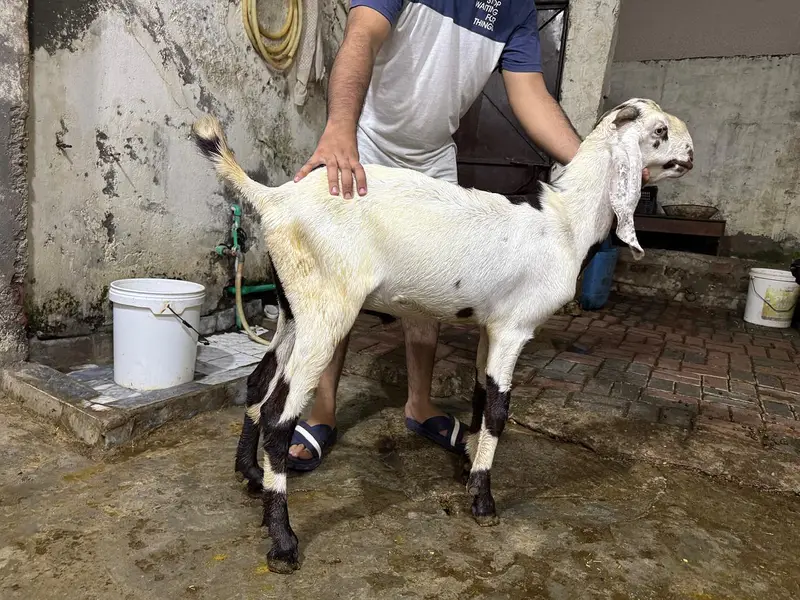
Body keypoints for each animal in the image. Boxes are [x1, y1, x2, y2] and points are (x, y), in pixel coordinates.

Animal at [192, 98, 694, 573]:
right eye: (659, 131)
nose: (690, 154)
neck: (565, 222)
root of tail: (275, 199)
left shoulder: (491, 325)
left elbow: (481, 394)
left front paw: (469, 462)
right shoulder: (515, 328)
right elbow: (499, 410)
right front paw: (484, 500)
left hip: (294, 307)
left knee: (258, 384)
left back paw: (251, 476)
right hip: (326, 308)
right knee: (279, 416)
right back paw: (283, 542)